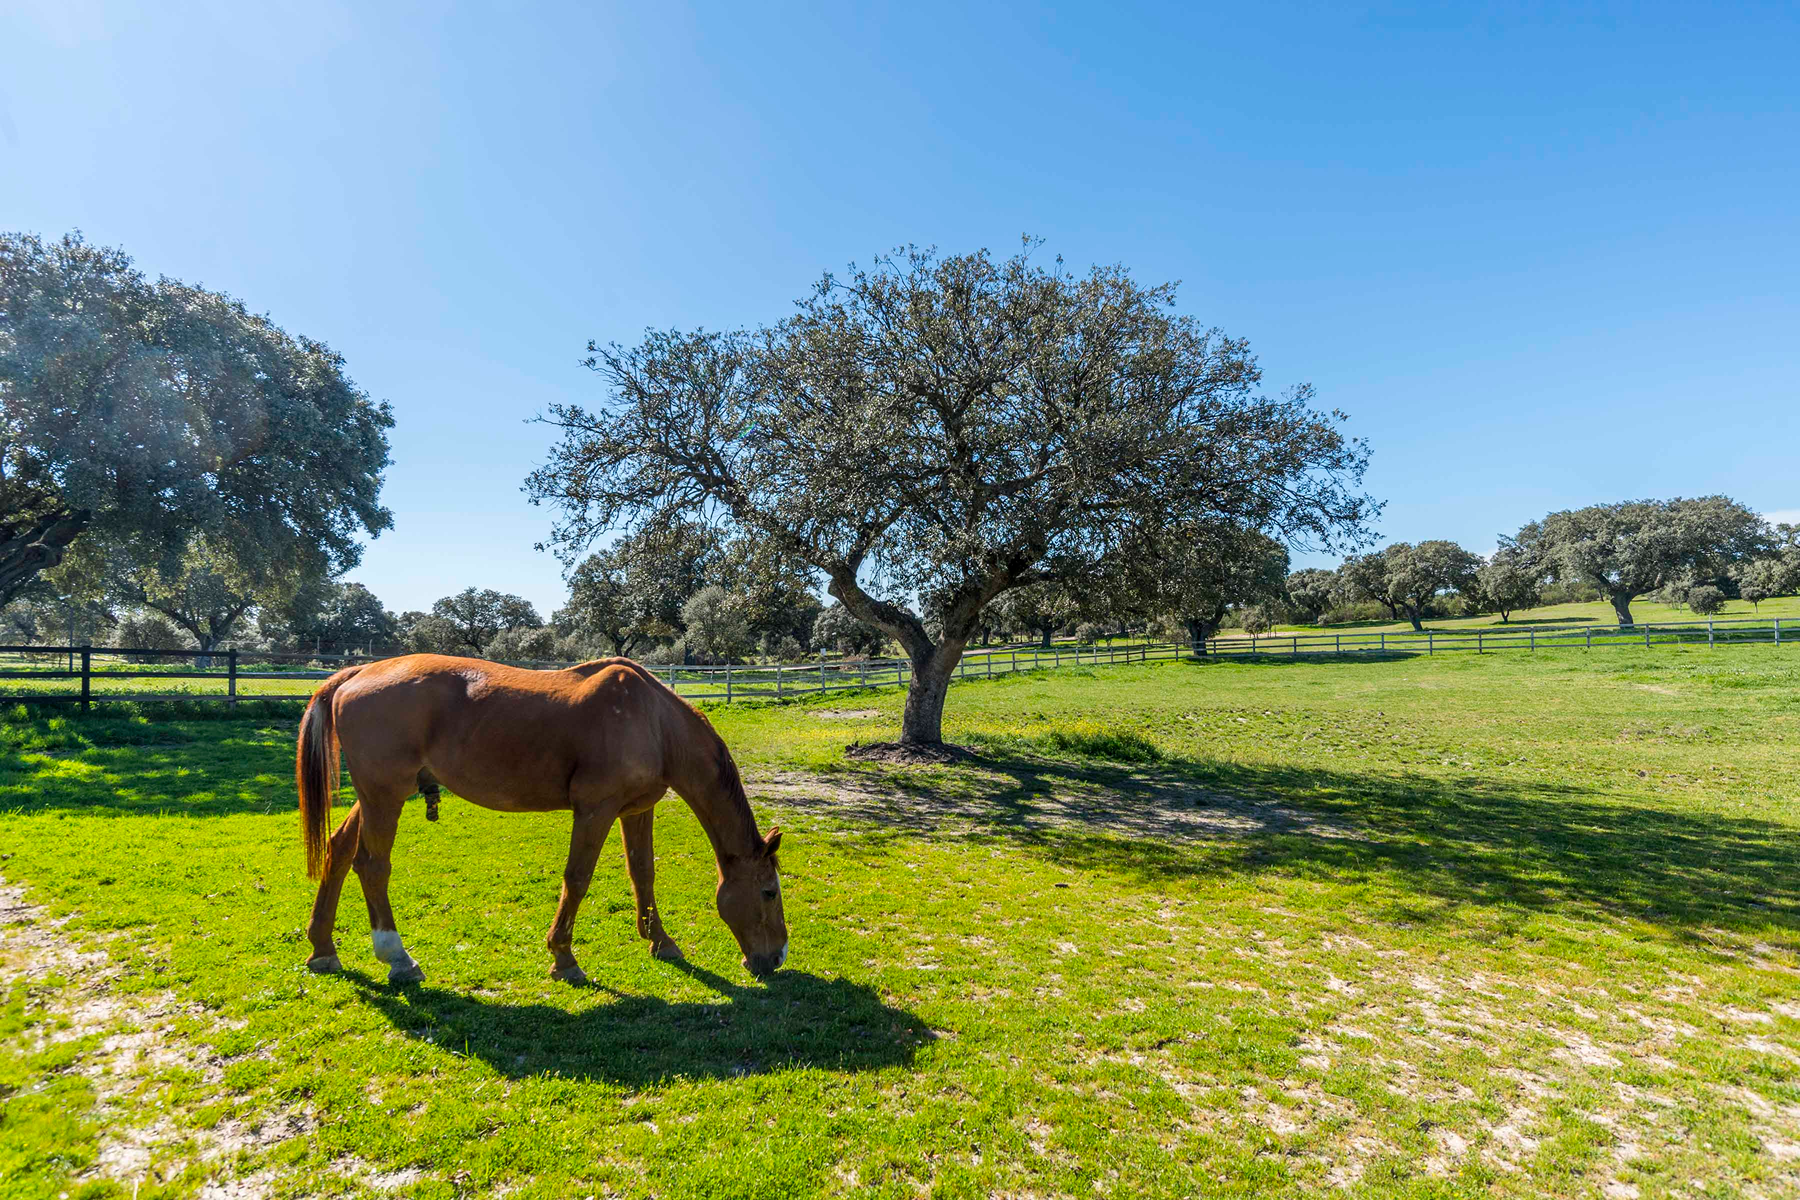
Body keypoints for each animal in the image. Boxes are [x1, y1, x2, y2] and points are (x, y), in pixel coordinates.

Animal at [294, 654, 787, 985]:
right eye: (768, 892)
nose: (777, 956)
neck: (654, 720)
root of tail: (357, 673)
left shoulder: (636, 810)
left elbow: (643, 873)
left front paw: (660, 941)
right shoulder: (595, 810)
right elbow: (578, 878)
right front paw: (564, 957)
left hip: (375, 796)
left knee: (340, 852)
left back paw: (323, 948)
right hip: (385, 796)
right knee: (372, 865)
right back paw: (397, 957)